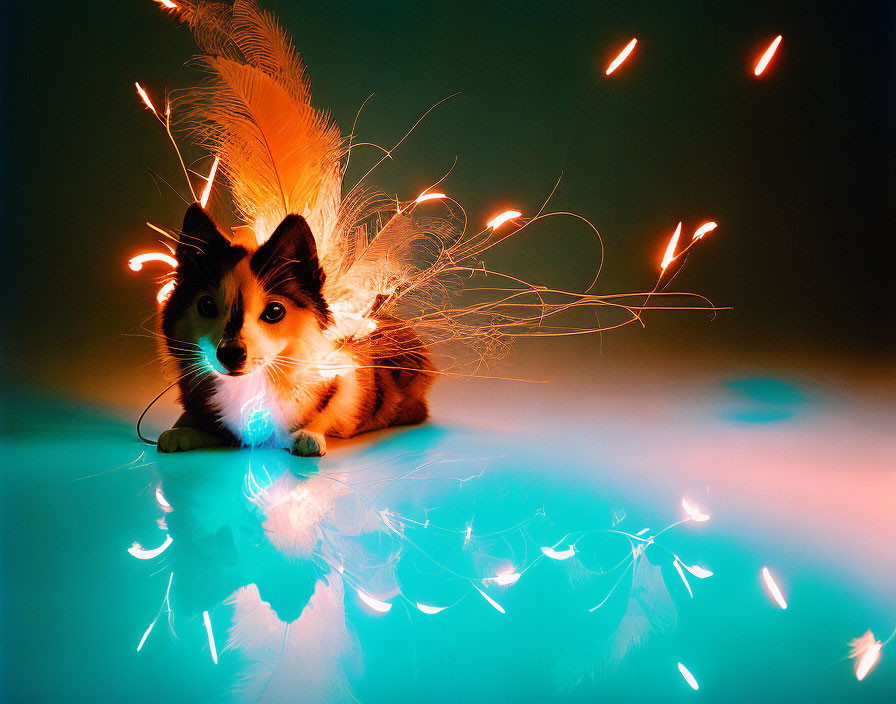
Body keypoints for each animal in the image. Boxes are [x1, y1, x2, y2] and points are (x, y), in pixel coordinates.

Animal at [159, 204, 436, 456]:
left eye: (274, 311)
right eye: (206, 305)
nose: (230, 353)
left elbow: (327, 410)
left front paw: (306, 435)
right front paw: (179, 430)